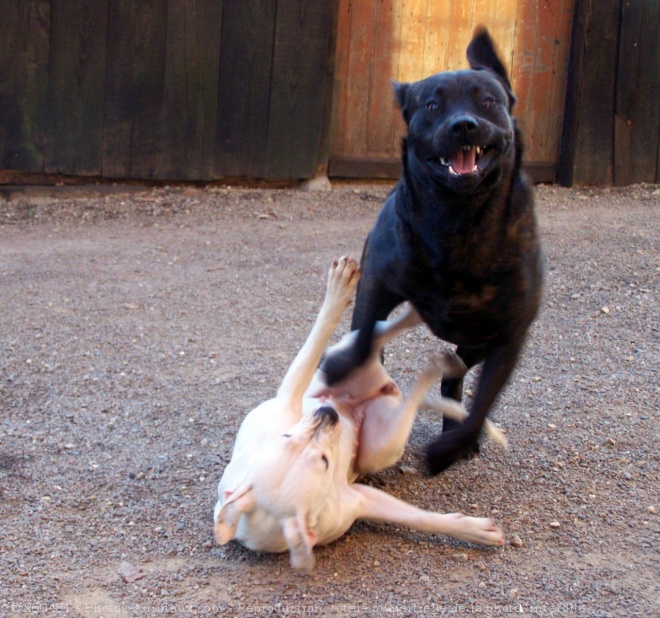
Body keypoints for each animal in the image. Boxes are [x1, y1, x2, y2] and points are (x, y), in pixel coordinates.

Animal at [214, 255, 502, 568]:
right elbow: (420, 518)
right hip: (383, 448)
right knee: (410, 391)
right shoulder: (360, 500)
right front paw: (476, 530)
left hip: (347, 356)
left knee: (376, 331)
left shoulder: (287, 400)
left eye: (285, 437)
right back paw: (437, 358)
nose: (327, 413)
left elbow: (314, 340)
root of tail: (382, 389)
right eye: (325, 462)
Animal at [322, 27, 544, 472]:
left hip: (477, 341)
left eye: (488, 101)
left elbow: (482, 406)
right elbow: (362, 336)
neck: (458, 220)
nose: (463, 125)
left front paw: (450, 446)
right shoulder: (378, 281)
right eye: (431, 105)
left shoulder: (509, 336)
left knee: (454, 374)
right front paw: (343, 366)